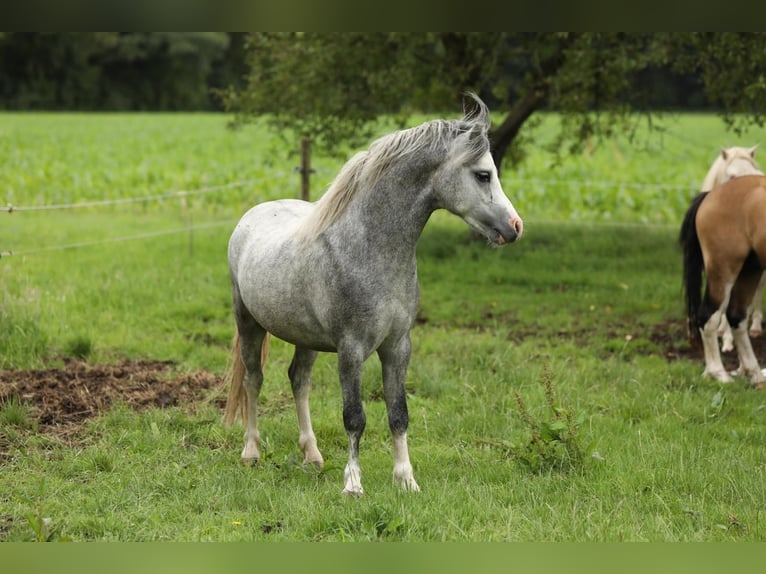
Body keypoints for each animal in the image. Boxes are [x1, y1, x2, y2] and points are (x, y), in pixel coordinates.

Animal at [222, 94, 520, 496]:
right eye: (483, 174)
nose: (515, 226)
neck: (369, 249)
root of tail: (253, 214)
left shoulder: (397, 346)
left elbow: (398, 413)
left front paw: (406, 479)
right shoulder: (351, 350)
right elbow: (354, 417)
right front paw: (353, 484)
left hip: (306, 338)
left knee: (299, 381)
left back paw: (312, 456)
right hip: (248, 321)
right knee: (253, 380)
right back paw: (251, 452)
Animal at [684, 177, 766, 392]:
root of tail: (712, 195)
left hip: (750, 270)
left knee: (737, 316)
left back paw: (754, 374)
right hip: (723, 270)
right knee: (708, 317)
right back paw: (718, 374)